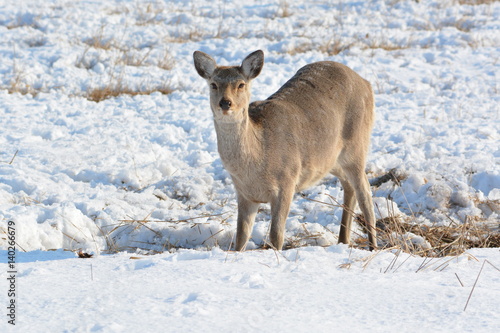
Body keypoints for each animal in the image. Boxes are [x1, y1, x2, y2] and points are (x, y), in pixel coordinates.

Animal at [193, 49, 376, 250]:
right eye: (213, 84)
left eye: (241, 84)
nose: (225, 103)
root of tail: (366, 83)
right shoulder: (244, 193)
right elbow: (241, 236)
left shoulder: (287, 182)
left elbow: (276, 235)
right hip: (330, 159)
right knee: (349, 185)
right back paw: (343, 240)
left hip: (357, 144)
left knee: (365, 192)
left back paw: (373, 246)